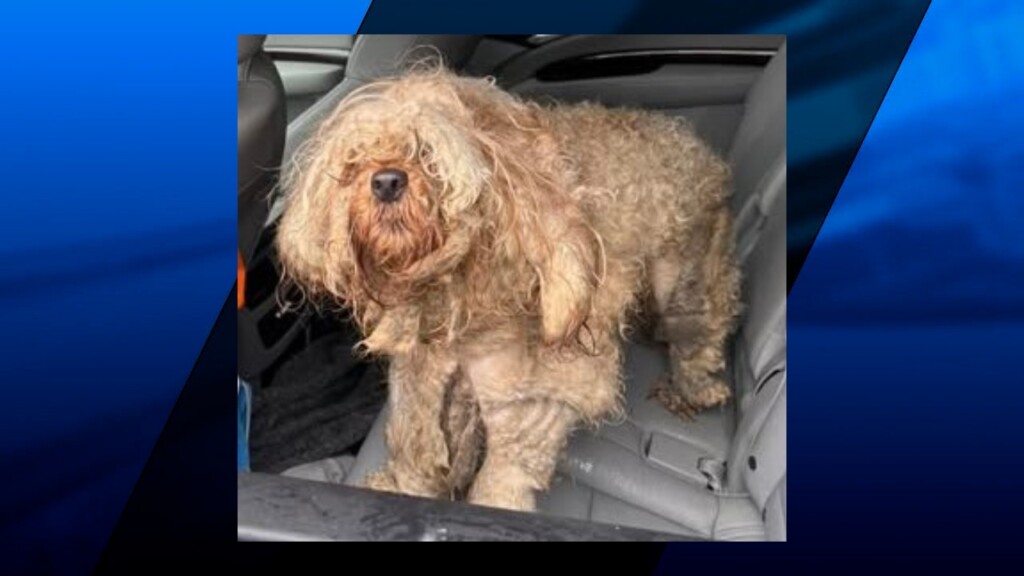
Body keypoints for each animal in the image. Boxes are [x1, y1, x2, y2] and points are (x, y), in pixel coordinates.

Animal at [275, 66, 741, 511]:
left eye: (429, 156)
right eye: (357, 157)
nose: (386, 180)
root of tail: (687, 138)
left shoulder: (532, 403)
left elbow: (499, 484)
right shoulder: (426, 376)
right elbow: (418, 452)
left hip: (686, 282)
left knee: (697, 337)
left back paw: (695, 389)